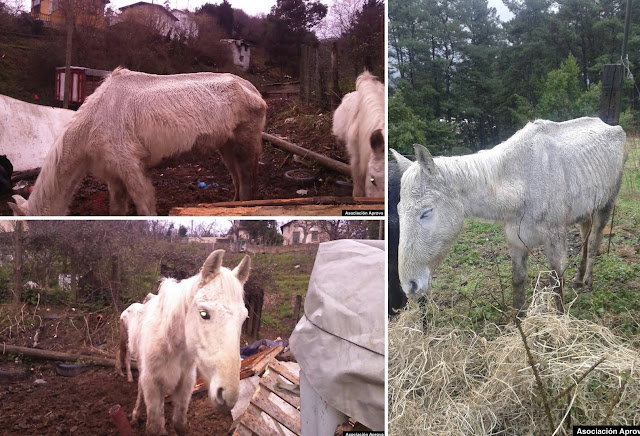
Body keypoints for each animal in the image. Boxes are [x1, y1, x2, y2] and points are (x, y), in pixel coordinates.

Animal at [10, 67, 264, 215]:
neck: (91, 126)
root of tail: (253, 89)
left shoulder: (131, 166)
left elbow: (145, 206)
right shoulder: (113, 176)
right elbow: (116, 211)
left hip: (246, 142)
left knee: (247, 179)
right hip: (226, 146)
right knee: (236, 176)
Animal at [131, 250, 250, 434]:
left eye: (244, 317)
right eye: (203, 313)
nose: (227, 395)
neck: (171, 345)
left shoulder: (185, 384)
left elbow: (179, 423)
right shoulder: (152, 383)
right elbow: (154, 426)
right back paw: (135, 415)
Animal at [392, 117, 628, 312]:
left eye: (426, 212)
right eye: (399, 211)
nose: (410, 286)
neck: (522, 181)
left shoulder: (555, 237)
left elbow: (556, 281)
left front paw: (560, 321)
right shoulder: (516, 239)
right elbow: (517, 280)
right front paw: (518, 321)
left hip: (607, 203)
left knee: (595, 238)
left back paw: (587, 282)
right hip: (584, 211)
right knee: (586, 233)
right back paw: (578, 278)